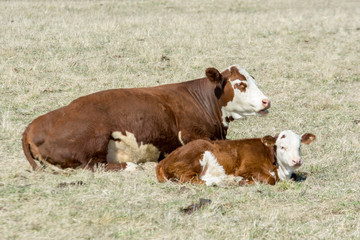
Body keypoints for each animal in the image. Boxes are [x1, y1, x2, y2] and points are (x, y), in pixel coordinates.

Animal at [21, 64, 270, 171]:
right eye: (240, 84)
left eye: (254, 80)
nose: (266, 101)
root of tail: (33, 125)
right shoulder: (192, 134)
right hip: (93, 138)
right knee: (93, 165)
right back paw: (133, 166)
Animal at [155, 131, 316, 186]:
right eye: (282, 147)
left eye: (299, 146)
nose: (296, 161)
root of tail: (163, 161)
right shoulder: (246, 168)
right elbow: (270, 179)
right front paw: (243, 181)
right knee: (189, 179)